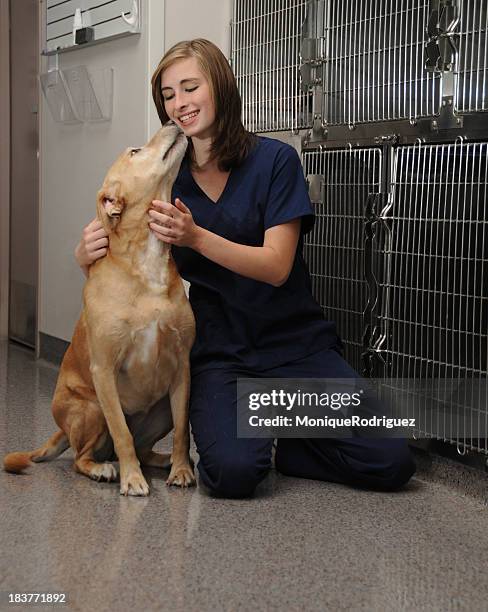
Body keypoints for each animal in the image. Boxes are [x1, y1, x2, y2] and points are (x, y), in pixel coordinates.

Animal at [3, 122, 196, 494]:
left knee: (143, 447)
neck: (144, 261)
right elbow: (121, 433)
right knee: (85, 456)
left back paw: (164, 461)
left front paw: (181, 469)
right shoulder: (104, 370)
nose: (170, 122)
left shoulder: (182, 366)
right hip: (90, 408)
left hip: (162, 407)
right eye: (135, 151)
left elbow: (183, 430)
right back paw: (104, 468)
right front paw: (132, 480)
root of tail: (62, 431)